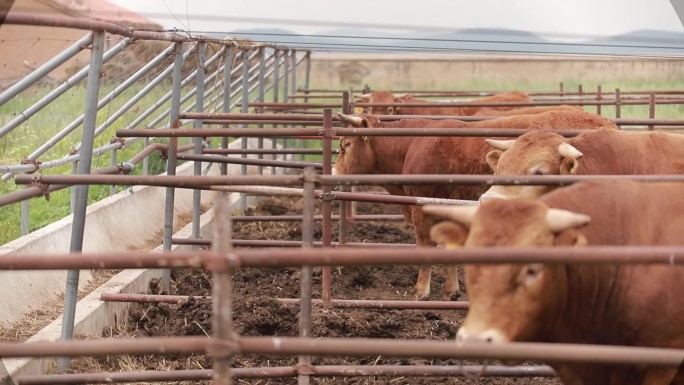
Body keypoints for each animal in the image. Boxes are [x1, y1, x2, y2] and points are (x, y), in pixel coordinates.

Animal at [332, 109, 616, 298]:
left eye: (346, 145)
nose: (333, 173)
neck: (413, 144)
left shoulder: (421, 207)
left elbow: (425, 246)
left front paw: (420, 291)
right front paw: (451, 291)